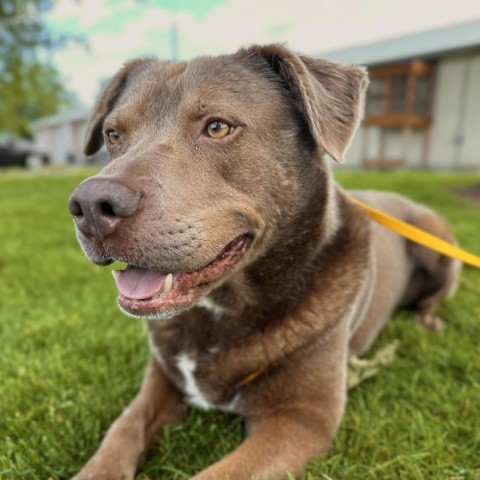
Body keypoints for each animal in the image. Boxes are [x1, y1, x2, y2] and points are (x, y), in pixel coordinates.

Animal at [68, 43, 462, 478]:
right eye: (113, 134)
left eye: (217, 127)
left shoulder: (299, 419)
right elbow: (121, 431)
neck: (220, 310)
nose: (90, 205)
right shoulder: (162, 380)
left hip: (437, 243)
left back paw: (429, 321)